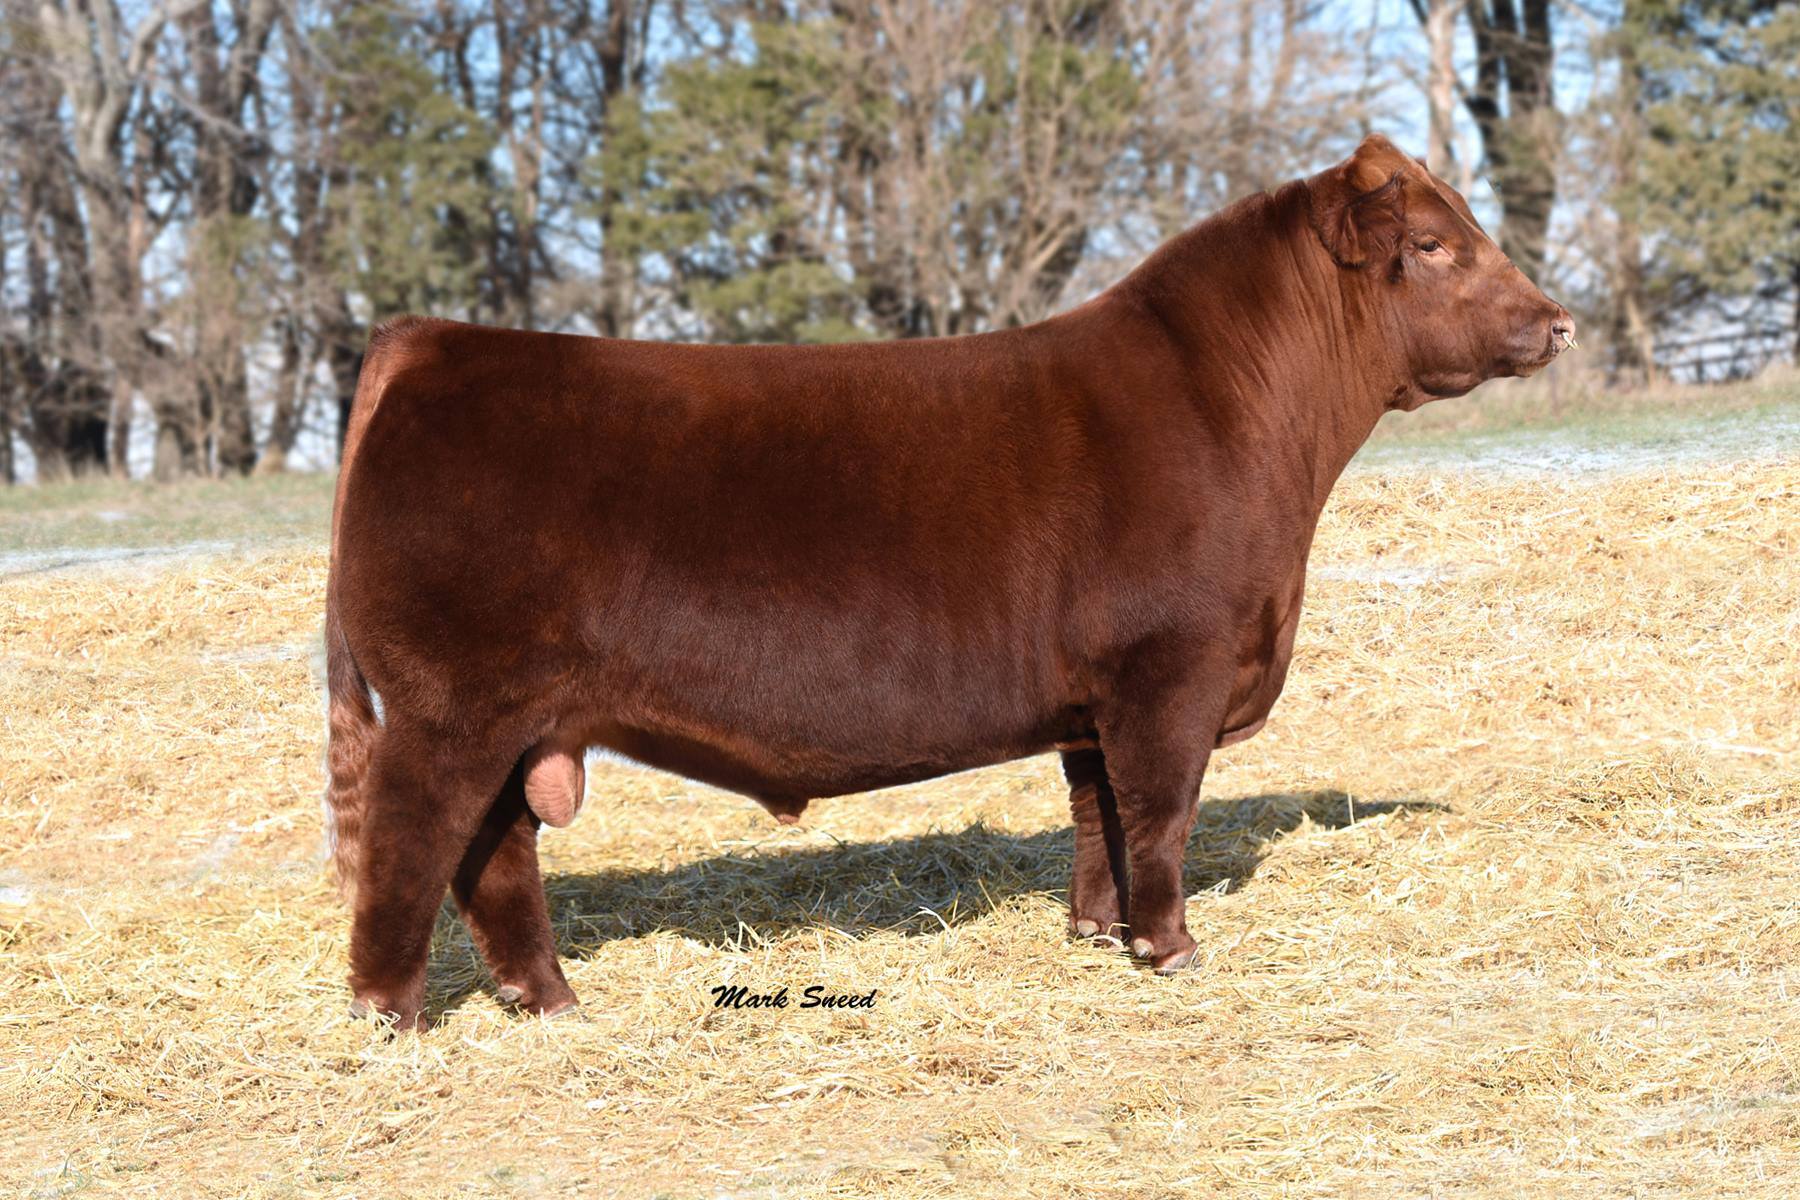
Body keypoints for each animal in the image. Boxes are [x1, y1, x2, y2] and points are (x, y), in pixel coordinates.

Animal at [325, 134, 1574, 1029]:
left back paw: (550, 1002)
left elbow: (1098, 817)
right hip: (449, 706)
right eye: (1435, 246)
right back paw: (396, 1016)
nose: (1558, 321)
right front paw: (1170, 950)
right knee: (408, 846)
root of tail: (432, 339)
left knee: (493, 858)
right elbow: (1161, 814)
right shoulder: (1172, 667)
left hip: (506, 720)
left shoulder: (1094, 698)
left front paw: (1097, 934)